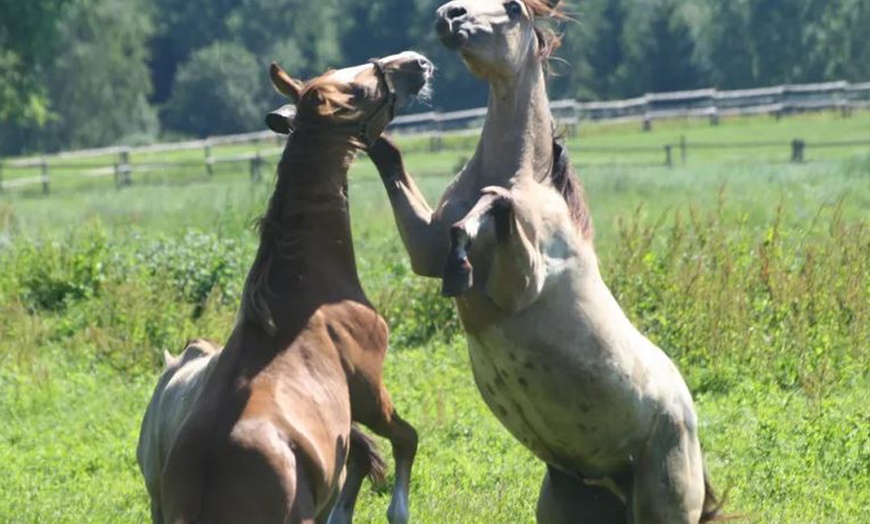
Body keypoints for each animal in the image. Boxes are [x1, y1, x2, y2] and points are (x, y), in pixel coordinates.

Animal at [140, 50, 436, 524]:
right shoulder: (369, 393)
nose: (417, 61)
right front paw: (398, 508)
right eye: (357, 89)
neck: (304, 290)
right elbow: (406, 438)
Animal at [366, 2, 724, 520]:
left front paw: (463, 261)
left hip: (664, 505)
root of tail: (690, 427)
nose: (450, 14)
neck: (519, 171)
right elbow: (397, 167)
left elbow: (496, 204)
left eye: (513, 9)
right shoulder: (424, 248)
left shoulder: (521, 281)